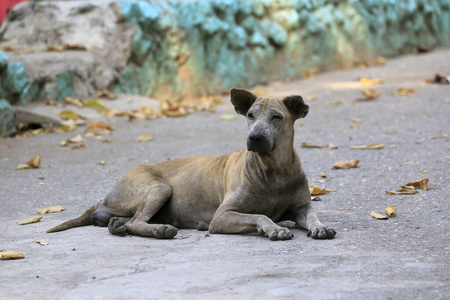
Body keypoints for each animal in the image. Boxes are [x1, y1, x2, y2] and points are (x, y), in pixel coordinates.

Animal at [47, 88, 336, 240]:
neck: (273, 170)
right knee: (137, 221)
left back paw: (118, 225)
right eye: (251, 115)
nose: (253, 137)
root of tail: (107, 194)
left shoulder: (301, 206)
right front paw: (274, 228)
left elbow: (311, 215)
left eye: (276, 117)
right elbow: (260, 215)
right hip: (159, 188)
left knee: (127, 221)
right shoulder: (222, 216)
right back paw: (159, 229)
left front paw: (319, 226)